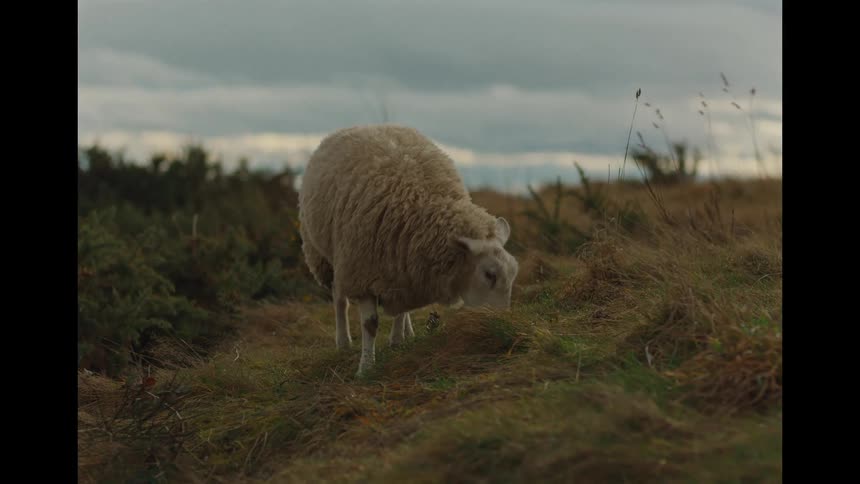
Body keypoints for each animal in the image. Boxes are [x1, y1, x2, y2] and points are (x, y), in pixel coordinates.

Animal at [298, 124, 519, 377]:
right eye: (489, 275)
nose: (501, 322)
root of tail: (362, 126)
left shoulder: (405, 265)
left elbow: (401, 310)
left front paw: (396, 342)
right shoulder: (361, 273)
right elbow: (370, 324)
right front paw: (366, 368)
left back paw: (405, 334)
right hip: (326, 258)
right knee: (339, 299)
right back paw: (343, 342)